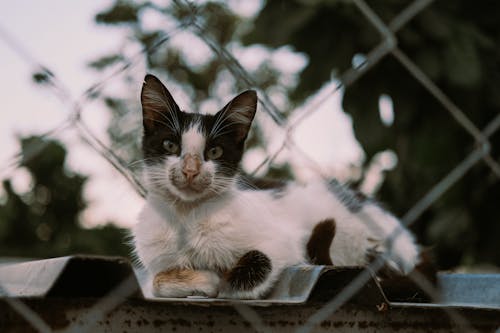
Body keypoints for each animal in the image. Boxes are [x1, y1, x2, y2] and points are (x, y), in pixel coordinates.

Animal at [131, 74, 420, 296]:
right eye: (170, 145)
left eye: (214, 152)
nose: (190, 171)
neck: (187, 216)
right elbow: (157, 280)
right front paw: (196, 278)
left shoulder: (285, 243)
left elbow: (256, 266)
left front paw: (216, 281)